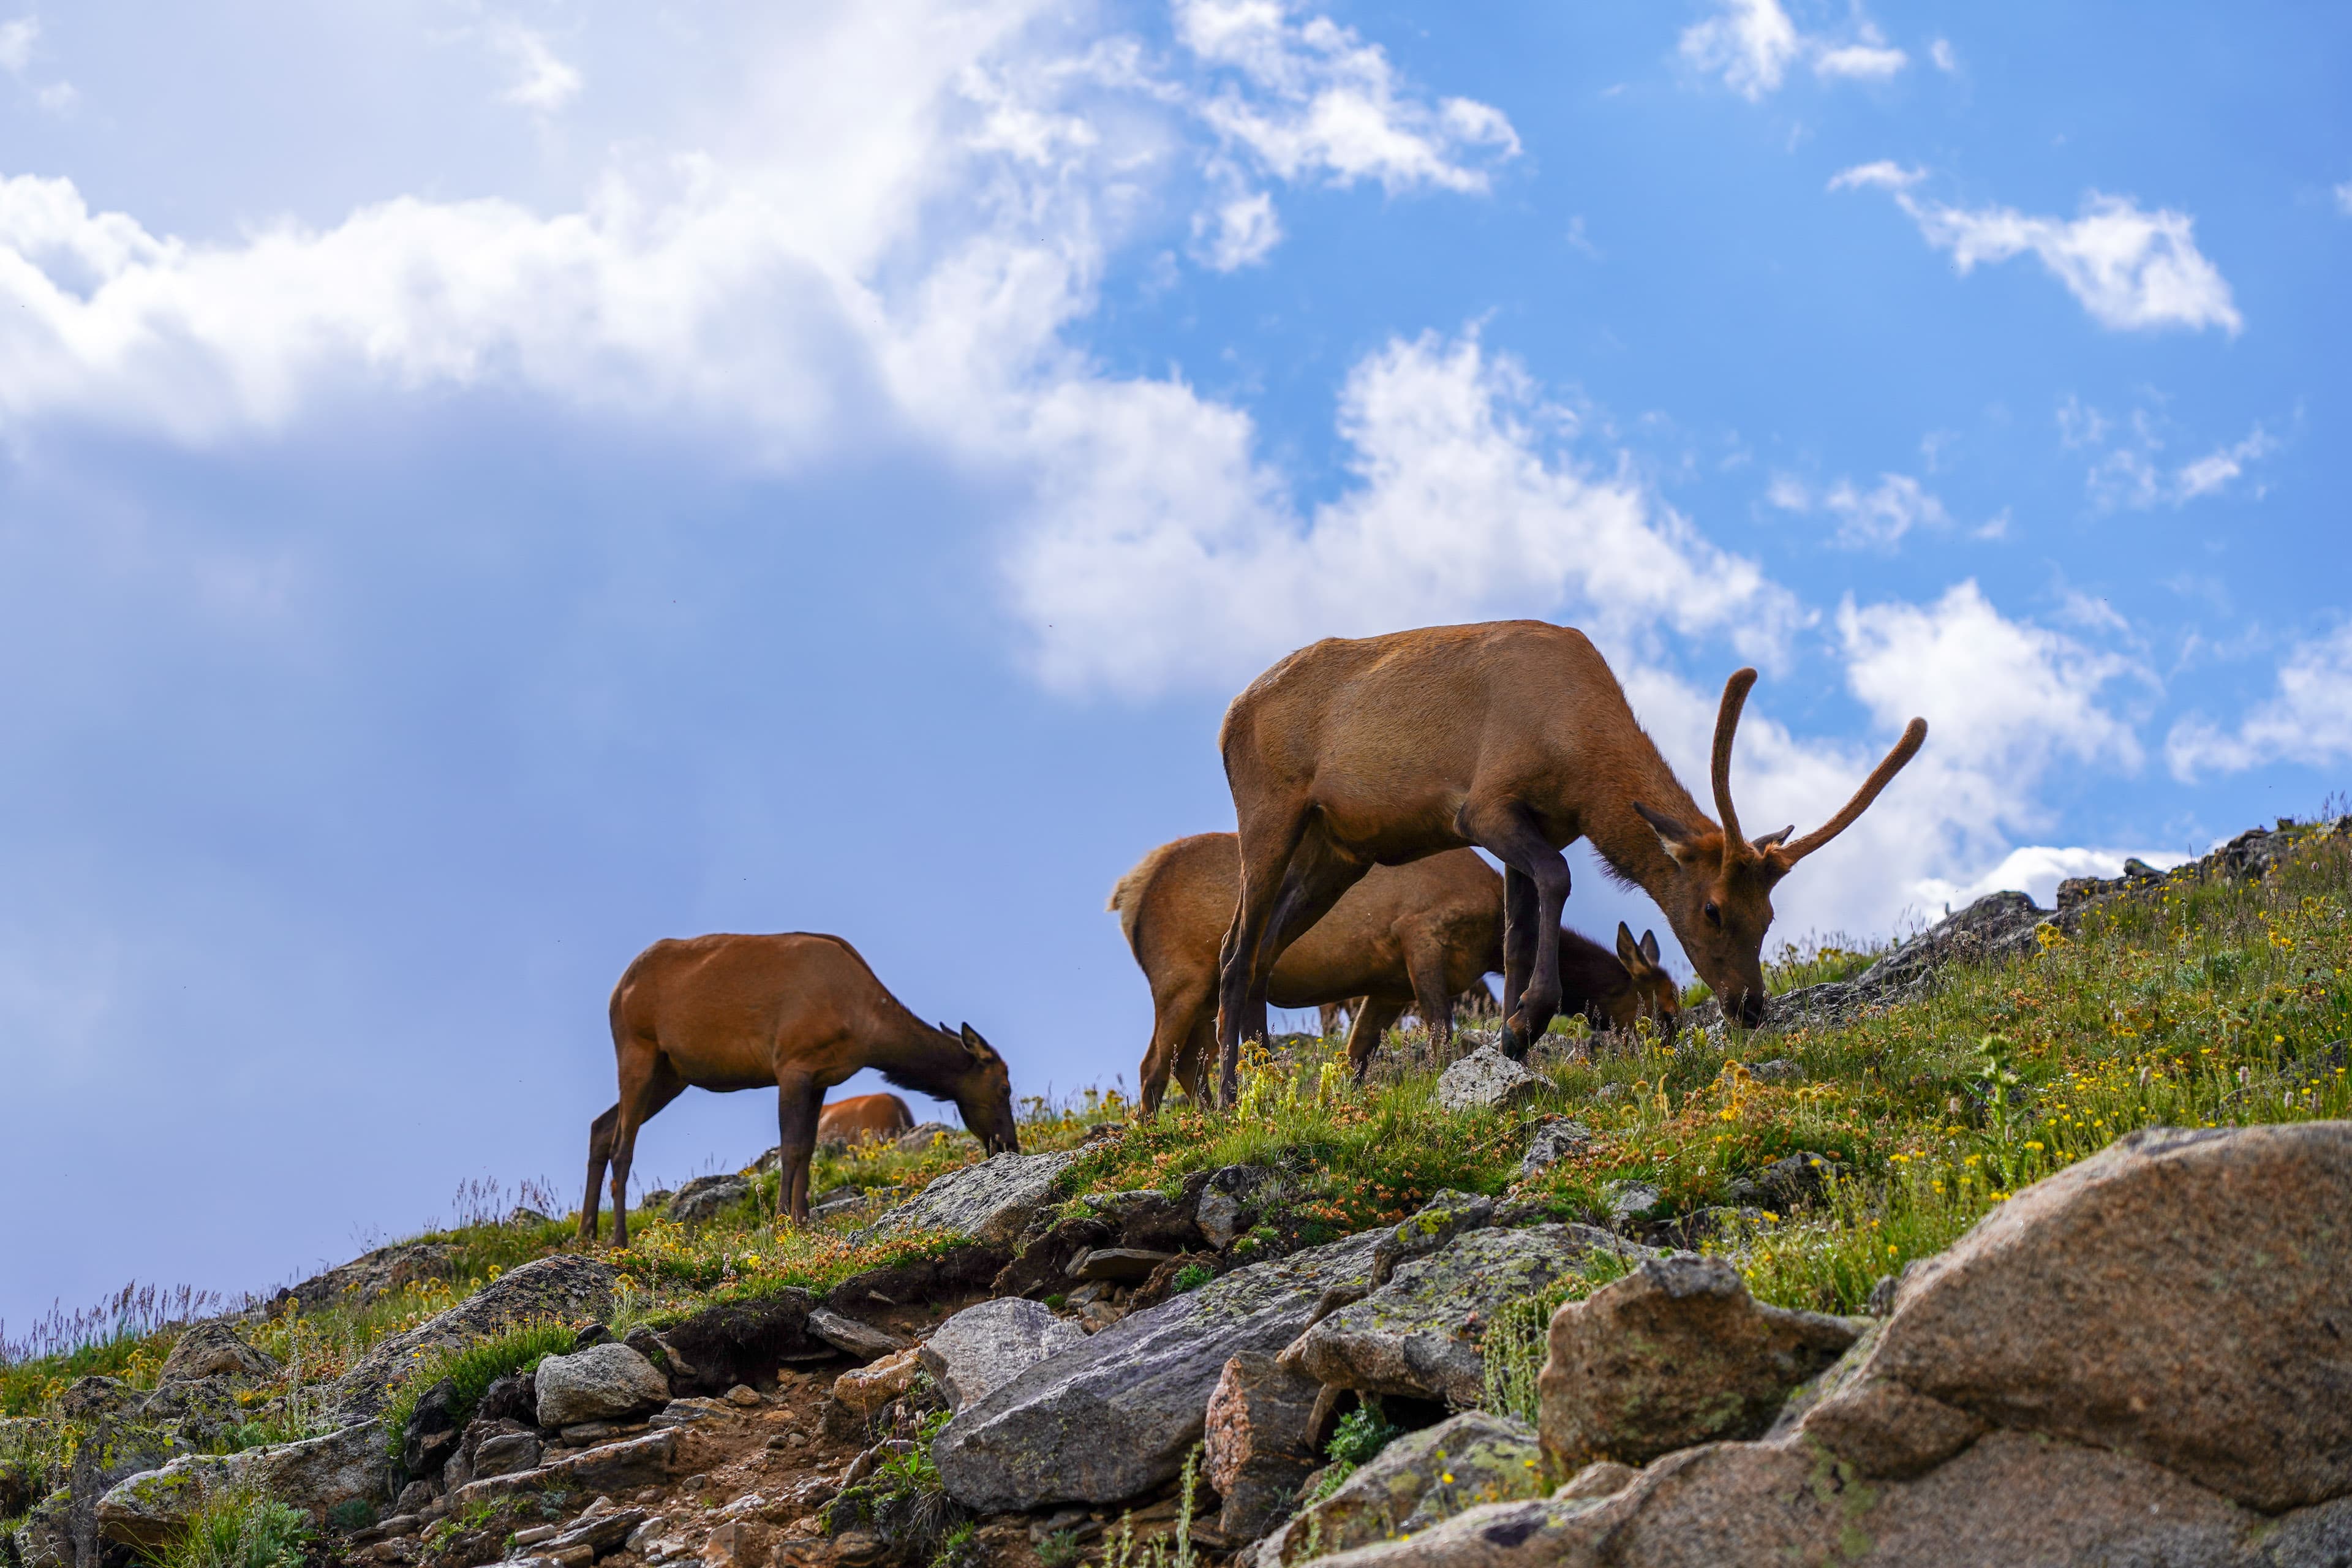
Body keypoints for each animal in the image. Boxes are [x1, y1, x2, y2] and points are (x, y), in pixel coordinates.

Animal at [580, 932, 1019, 1246]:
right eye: (1004, 1088)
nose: (1010, 1146)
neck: (866, 1030)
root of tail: (616, 991)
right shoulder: (792, 1063)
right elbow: (790, 1148)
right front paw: (780, 1222)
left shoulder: (821, 1076)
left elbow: (808, 1147)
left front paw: (802, 1221)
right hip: (638, 1048)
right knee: (622, 1144)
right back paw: (618, 1240)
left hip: (673, 1072)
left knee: (601, 1126)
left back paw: (586, 1234)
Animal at [1109, 833, 1682, 1106]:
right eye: (1664, 1008)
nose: (1676, 1054)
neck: (1487, 942)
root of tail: (1128, 893)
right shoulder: (1420, 937)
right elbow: (1440, 1032)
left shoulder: (1387, 988)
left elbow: (1354, 1060)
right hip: (1178, 979)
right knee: (1152, 1068)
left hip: (1205, 996)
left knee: (1189, 1065)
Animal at [1210, 621, 1925, 1101]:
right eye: (1713, 910)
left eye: (1770, 914)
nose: (1750, 1007)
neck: (1580, 762)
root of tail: (1228, 718)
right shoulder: (1484, 808)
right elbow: (1559, 877)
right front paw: (1527, 1022)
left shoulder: (1531, 824)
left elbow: (1516, 937)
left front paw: (1509, 1052)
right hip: (1270, 814)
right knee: (1236, 949)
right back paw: (1228, 1096)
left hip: (1338, 849)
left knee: (1267, 946)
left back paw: (1265, 1082)